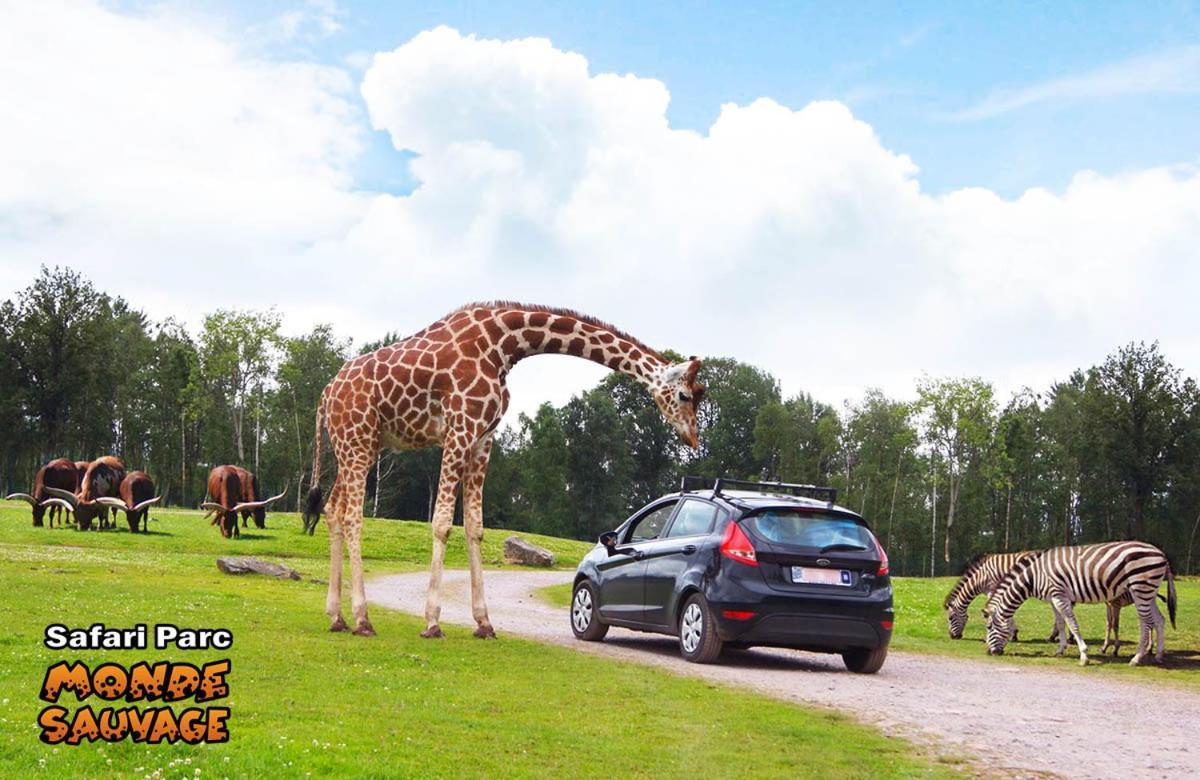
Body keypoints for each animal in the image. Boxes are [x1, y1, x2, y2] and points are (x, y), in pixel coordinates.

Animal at [304, 301, 705, 633]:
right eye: (685, 395)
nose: (692, 439)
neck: (504, 345)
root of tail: (326, 394)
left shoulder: (483, 438)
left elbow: (475, 527)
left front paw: (484, 623)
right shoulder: (460, 429)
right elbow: (442, 523)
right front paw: (432, 622)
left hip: (360, 444)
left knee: (333, 509)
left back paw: (336, 616)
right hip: (357, 440)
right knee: (353, 516)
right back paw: (362, 619)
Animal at [984, 540, 1180, 662]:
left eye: (989, 627)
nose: (988, 652)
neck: (1034, 577)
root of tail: (1160, 553)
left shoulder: (1059, 596)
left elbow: (1072, 624)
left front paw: (1084, 655)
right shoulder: (1053, 598)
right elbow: (1060, 623)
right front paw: (1060, 649)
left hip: (1140, 589)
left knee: (1146, 623)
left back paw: (1137, 658)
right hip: (1149, 592)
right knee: (1160, 620)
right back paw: (1158, 656)